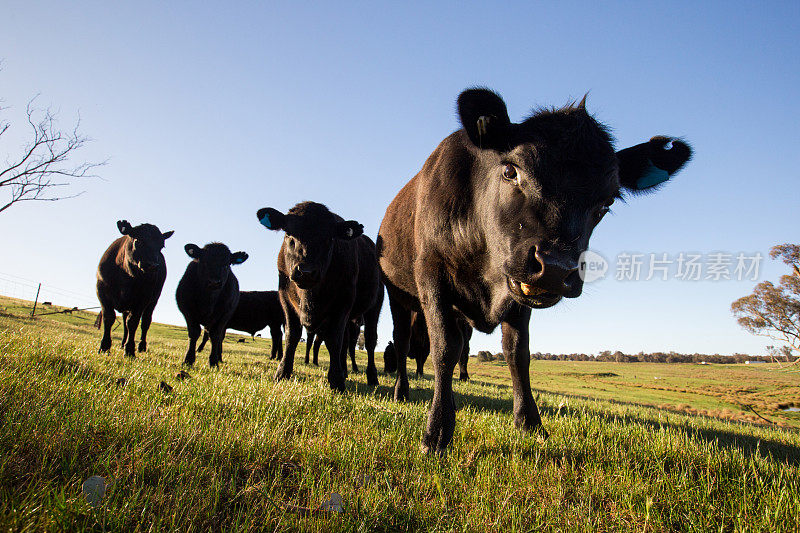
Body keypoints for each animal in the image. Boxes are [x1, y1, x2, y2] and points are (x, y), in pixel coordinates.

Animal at [95, 218, 173, 356]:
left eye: (161, 246)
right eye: (139, 240)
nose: (154, 266)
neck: (126, 276)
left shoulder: (142, 299)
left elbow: (133, 322)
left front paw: (130, 350)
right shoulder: (101, 291)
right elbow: (109, 317)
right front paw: (104, 347)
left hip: (153, 301)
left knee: (145, 322)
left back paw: (141, 346)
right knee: (125, 322)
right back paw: (122, 343)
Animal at [255, 202, 382, 388]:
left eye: (329, 238)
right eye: (288, 233)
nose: (306, 272)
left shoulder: (344, 301)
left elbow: (334, 339)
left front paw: (336, 380)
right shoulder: (284, 297)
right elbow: (292, 335)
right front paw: (282, 372)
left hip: (375, 304)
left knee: (370, 339)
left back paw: (372, 376)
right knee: (346, 342)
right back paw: (344, 371)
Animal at [378, 87, 692, 454]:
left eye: (608, 201)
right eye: (510, 171)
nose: (555, 268)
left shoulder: (519, 294)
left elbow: (517, 354)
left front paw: (529, 422)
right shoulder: (433, 273)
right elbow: (443, 348)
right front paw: (437, 431)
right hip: (398, 295)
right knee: (403, 341)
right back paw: (401, 391)